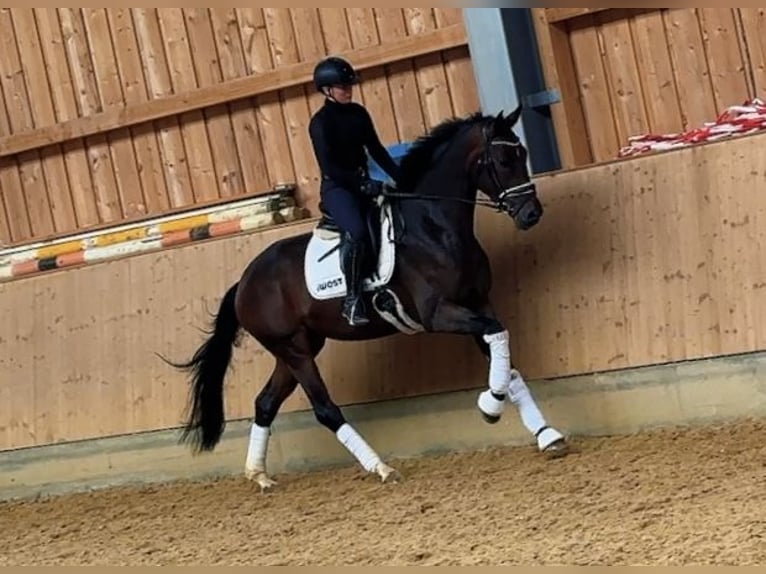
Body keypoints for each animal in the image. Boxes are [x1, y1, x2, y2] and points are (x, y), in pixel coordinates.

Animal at [170, 106, 568, 492]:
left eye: (523, 154)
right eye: (502, 160)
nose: (532, 214)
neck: (433, 227)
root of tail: (244, 282)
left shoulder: (478, 303)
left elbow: (504, 352)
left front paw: (545, 434)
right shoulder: (439, 314)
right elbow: (497, 335)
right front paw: (490, 406)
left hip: (296, 349)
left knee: (265, 403)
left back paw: (260, 475)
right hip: (295, 351)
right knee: (325, 409)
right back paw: (381, 468)